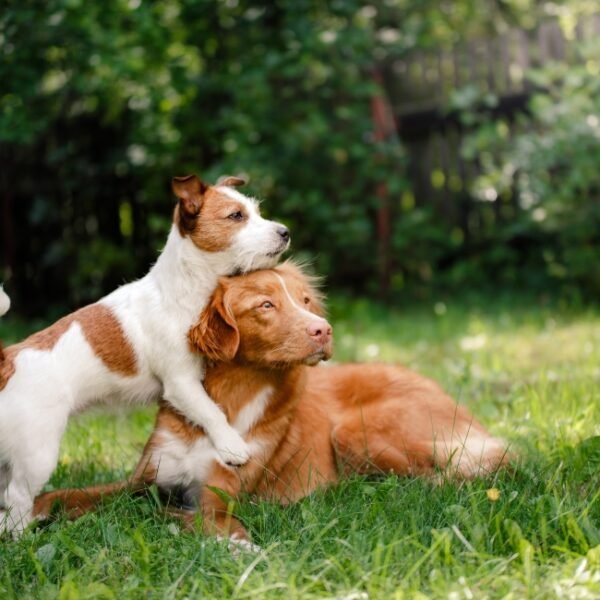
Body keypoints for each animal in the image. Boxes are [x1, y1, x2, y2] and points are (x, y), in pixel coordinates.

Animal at [0, 173, 290, 536]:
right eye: (236, 216)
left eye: (257, 211)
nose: (285, 231)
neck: (184, 288)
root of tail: (8, 359)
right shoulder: (181, 382)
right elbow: (210, 411)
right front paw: (231, 445)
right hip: (38, 453)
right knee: (16, 498)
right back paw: (21, 538)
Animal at [32, 262, 508, 544]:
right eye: (265, 305)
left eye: (305, 301)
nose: (324, 330)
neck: (229, 399)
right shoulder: (144, 479)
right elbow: (68, 493)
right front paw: (32, 514)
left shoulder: (218, 496)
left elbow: (195, 516)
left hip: (356, 432)